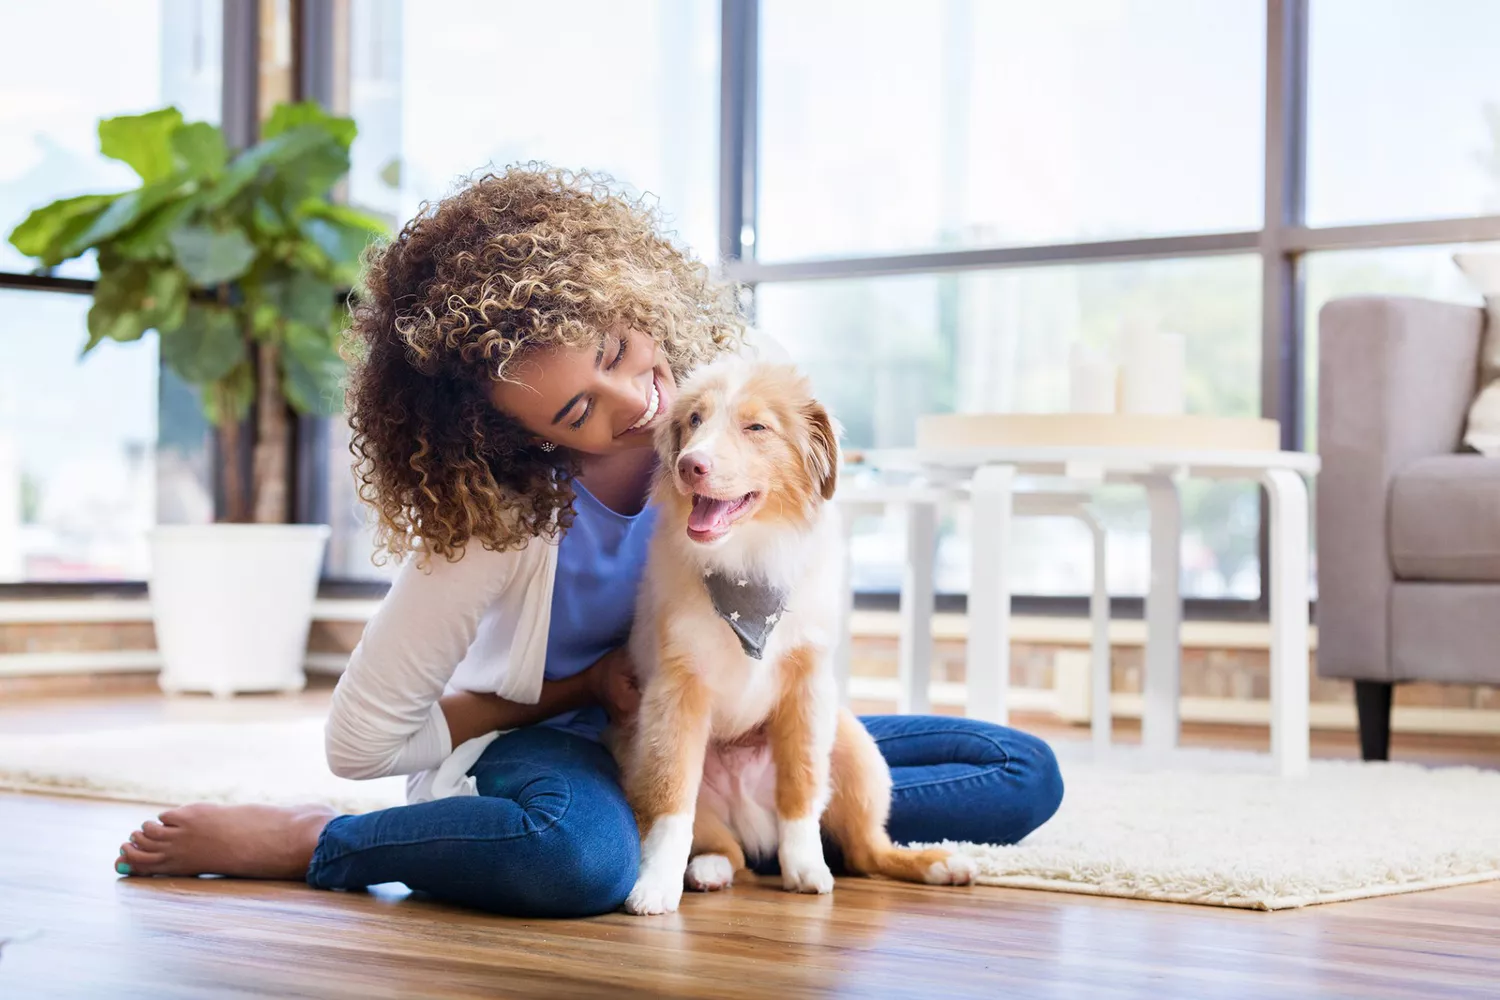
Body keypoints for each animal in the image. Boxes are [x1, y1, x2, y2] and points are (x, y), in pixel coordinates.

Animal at [615, 359, 978, 917]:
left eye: (756, 427)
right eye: (694, 420)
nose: (691, 465)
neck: (748, 562)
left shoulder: (808, 686)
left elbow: (802, 787)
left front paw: (806, 868)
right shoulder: (676, 692)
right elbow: (672, 801)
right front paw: (654, 885)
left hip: (854, 747)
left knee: (867, 850)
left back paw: (941, 863)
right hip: (639, 755)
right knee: (725, 847)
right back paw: (707, 870)